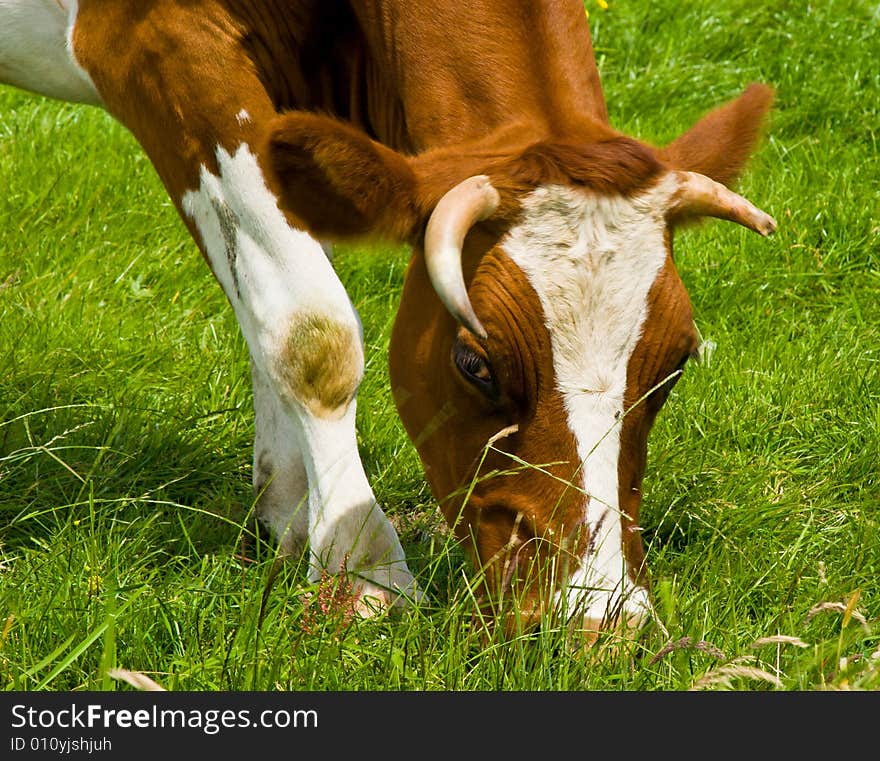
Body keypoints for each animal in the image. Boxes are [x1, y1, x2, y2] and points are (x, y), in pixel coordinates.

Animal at [0, 0, 772, 632]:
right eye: (475, 364)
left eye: (675, 363)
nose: (598, 623)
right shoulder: (156, 45)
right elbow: (311, 328)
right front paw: (362, 571)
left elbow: (261, 300)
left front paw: (288, 519)